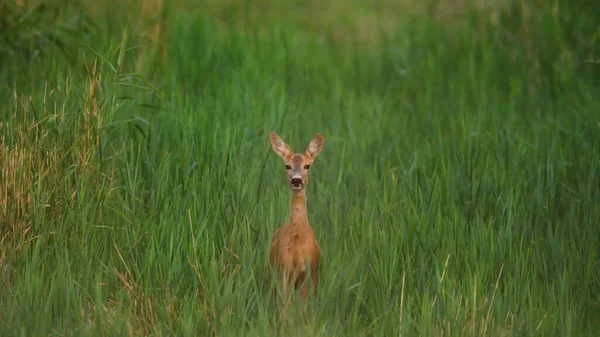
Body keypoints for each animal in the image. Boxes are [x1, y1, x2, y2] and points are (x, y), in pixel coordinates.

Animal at [268, 131, 324, 310]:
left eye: (307, 166)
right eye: (287, 166)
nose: (296, 180)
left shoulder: (309, 271)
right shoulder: (284, 270)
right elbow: (285, 308)